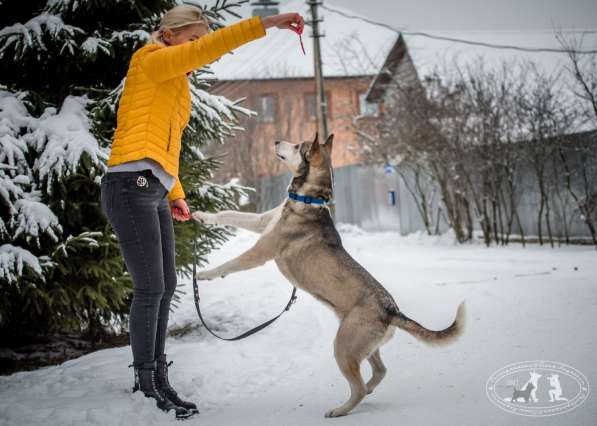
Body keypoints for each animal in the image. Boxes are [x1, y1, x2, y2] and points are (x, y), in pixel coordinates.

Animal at [191, 132, 466, 416]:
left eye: (297, 145)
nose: (276, 140)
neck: (308, 199)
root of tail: (392, 310)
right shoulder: (261, 222)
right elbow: (230, 214)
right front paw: (201, 215)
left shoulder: (261, 251)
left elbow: (231, 264)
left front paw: (204, 274)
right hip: (363, 346)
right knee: (380, 371)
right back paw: (368, 390)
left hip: (343, 348)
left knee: (357, 386)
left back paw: (341, 409)